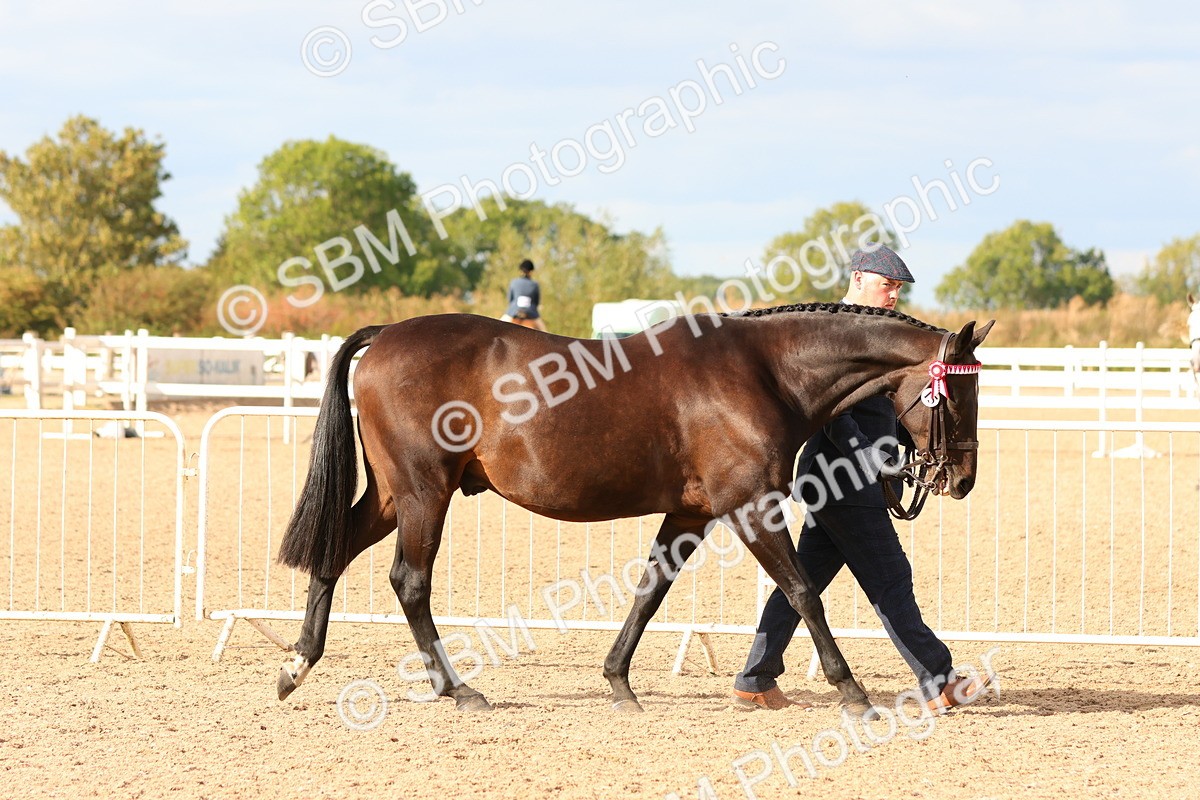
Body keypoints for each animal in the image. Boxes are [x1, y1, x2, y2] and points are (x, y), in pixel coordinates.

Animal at [275, 303, 994, 715]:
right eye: (959, 395)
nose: (962, 478)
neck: (765, 371)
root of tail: (385, 337)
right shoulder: (751, 507)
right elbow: (802, 593)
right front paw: (852, 691)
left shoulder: (692, 515)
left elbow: (651, 593)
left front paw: (618, 681)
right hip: (425, 491)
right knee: (410, 581)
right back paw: (458, 690)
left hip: (394, 494)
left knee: (335, 551)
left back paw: (297, 664)